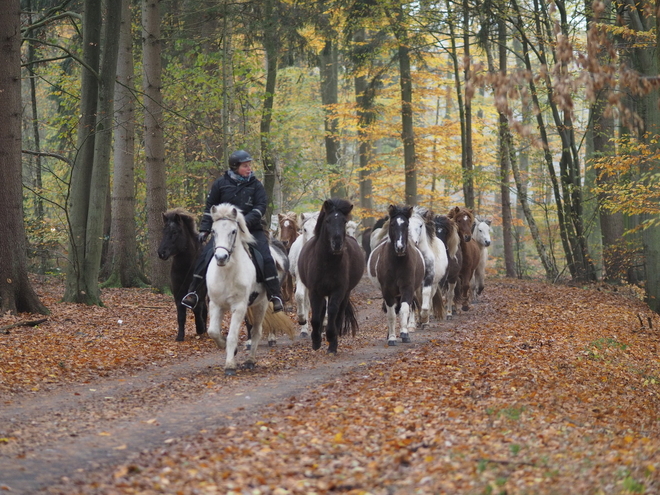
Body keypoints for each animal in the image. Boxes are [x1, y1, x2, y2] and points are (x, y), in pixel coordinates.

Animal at [157, 208, 206, 340]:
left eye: (174, 232)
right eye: (163, 231)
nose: (161, 253)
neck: (186, 267)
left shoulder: (198, 291)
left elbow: (197, 309)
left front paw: (200, 328)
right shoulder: (178, 293)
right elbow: (181, 315)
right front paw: (180, 336)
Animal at [205, 203, 290, 374]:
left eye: (233, 231)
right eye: (213, 231)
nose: (221, 258)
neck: (227, 272)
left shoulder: (238, 306)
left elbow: (232, 336)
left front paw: (230, 365)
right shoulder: (216, 305)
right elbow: (213, 332)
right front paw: (227, 348)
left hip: (261, 304)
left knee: (257, 331)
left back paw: (250, 361)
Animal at [296, 198, 364, 352]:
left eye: (344, 221)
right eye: (327, 220)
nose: (337, 244)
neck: (327, 262)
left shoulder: (338, 290)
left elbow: (333, 312)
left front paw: (331, 340)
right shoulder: (314, 290)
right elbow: (316, 316)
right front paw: (316, 341)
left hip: (345, 293)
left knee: (338, 314)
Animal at [368, 204, 426, 344]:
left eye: (406, 224)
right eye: (393, 224)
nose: (400, 248)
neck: (398, 262)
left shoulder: (407, 287)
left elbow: (404, 309)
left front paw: (405, 334)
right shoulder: (387, 290)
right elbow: (391, 313)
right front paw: (392, 337)